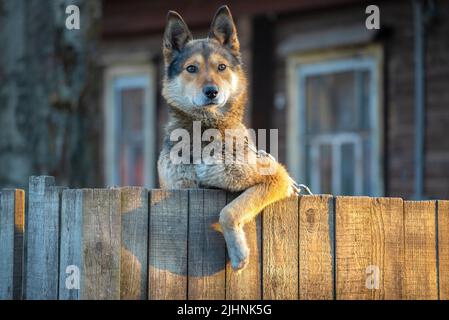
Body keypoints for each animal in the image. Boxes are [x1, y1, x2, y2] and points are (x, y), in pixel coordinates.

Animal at [158, 4, 294, 270]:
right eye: (191, 68)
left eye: (221, 67)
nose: (212, 92)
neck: (206, 132)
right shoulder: (178, 187)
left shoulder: (276, 178)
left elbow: (228, 212)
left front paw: (238, 252)